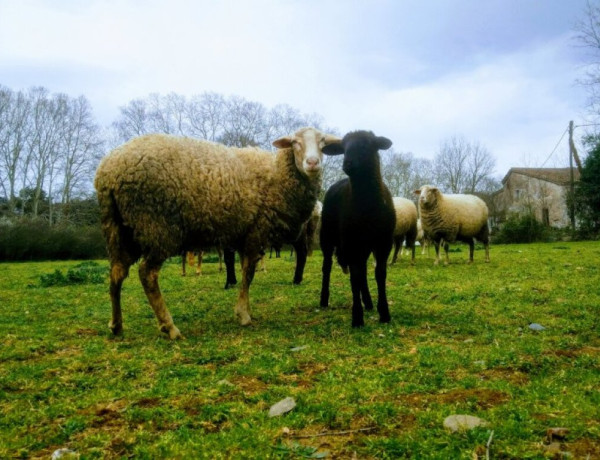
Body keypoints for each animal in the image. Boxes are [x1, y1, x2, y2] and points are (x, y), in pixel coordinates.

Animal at [93, 127, 338, 340]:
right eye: (295, 142)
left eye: (323, 143)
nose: (312, 163)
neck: (277, 174)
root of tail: (108, 171)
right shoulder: (255, 232)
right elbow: (248, 274)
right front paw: (244, 314)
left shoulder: (243, 235)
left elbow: (245, 272)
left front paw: (245, 309)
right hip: (156, 225)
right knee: (147, 274)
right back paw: (169, 327)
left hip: (119, 230)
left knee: (116, 273)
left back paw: (116, 325)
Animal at [318, 130, 398, 328]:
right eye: (343, 148)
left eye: (366, 145)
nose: (347, 164)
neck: (367, 207)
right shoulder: (350, 242)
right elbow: (354, 277)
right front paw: (357, 317)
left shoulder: (384, 242)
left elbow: (379, 274)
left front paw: (384, 313)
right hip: (327, 237)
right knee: (327, 267)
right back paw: (324, 300)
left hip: (364, 245)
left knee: (362, 271)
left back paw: (368, 302)